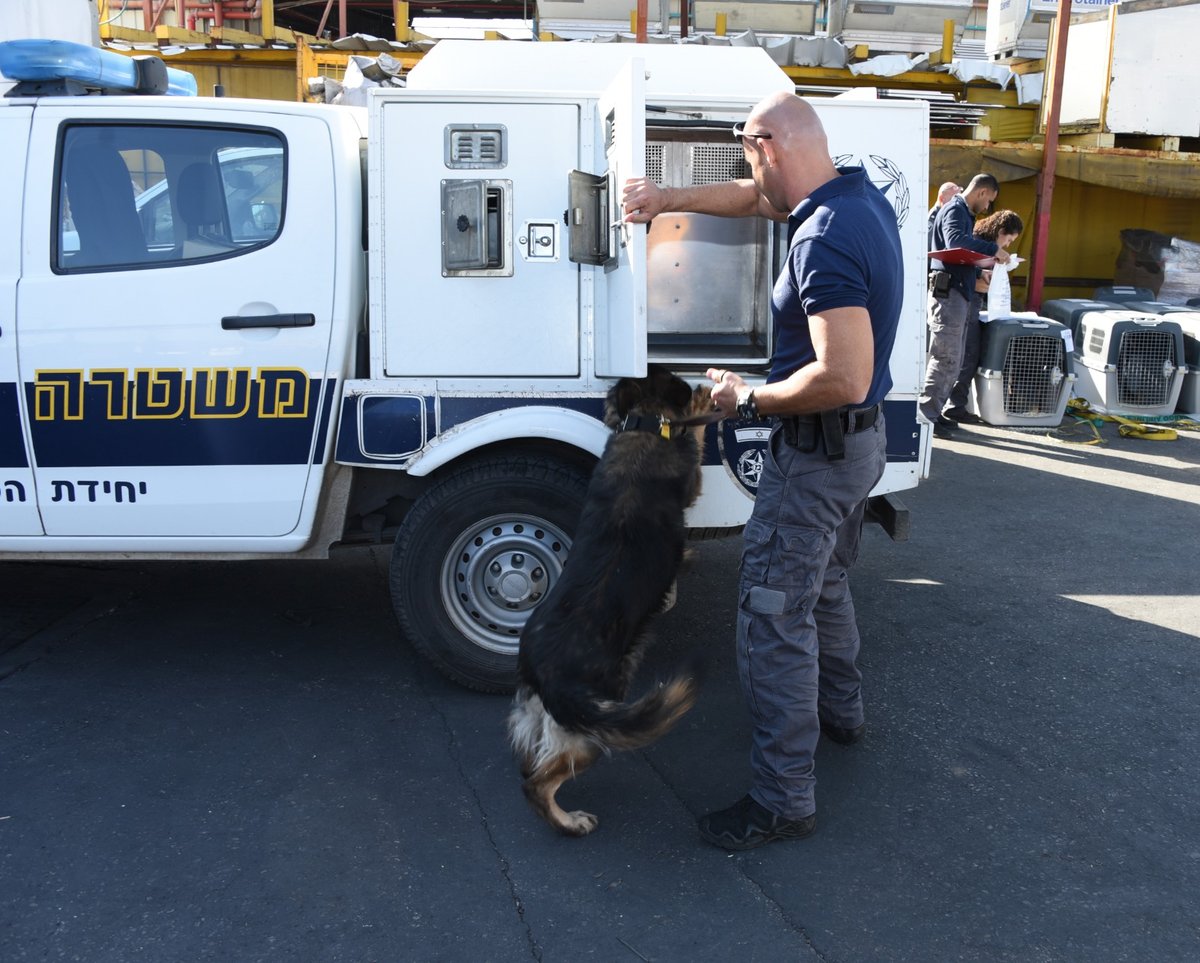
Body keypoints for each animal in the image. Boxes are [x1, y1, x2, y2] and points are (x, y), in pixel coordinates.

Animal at [506, 367, 710, 830]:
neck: (644, 424)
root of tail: (543, 674)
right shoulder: (691, 481)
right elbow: (698, 438)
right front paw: (706, 402)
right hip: (591, 731)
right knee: (538, 784)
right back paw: (570, 822)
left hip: (539, 718)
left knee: (530, 764)